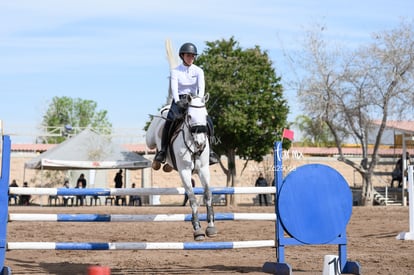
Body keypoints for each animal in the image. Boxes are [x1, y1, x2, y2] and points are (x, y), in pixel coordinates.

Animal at [145, 95, 217, 242]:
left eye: (205, 115)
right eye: (189, 116)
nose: (200, 143)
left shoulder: (204, 170)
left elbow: (207, 194)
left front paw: (211, 227)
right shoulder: (185, 172)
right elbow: (192, 198)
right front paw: (197, 229)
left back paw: (167, 165)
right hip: (150, 140)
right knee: (154, 145)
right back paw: (157, 159)